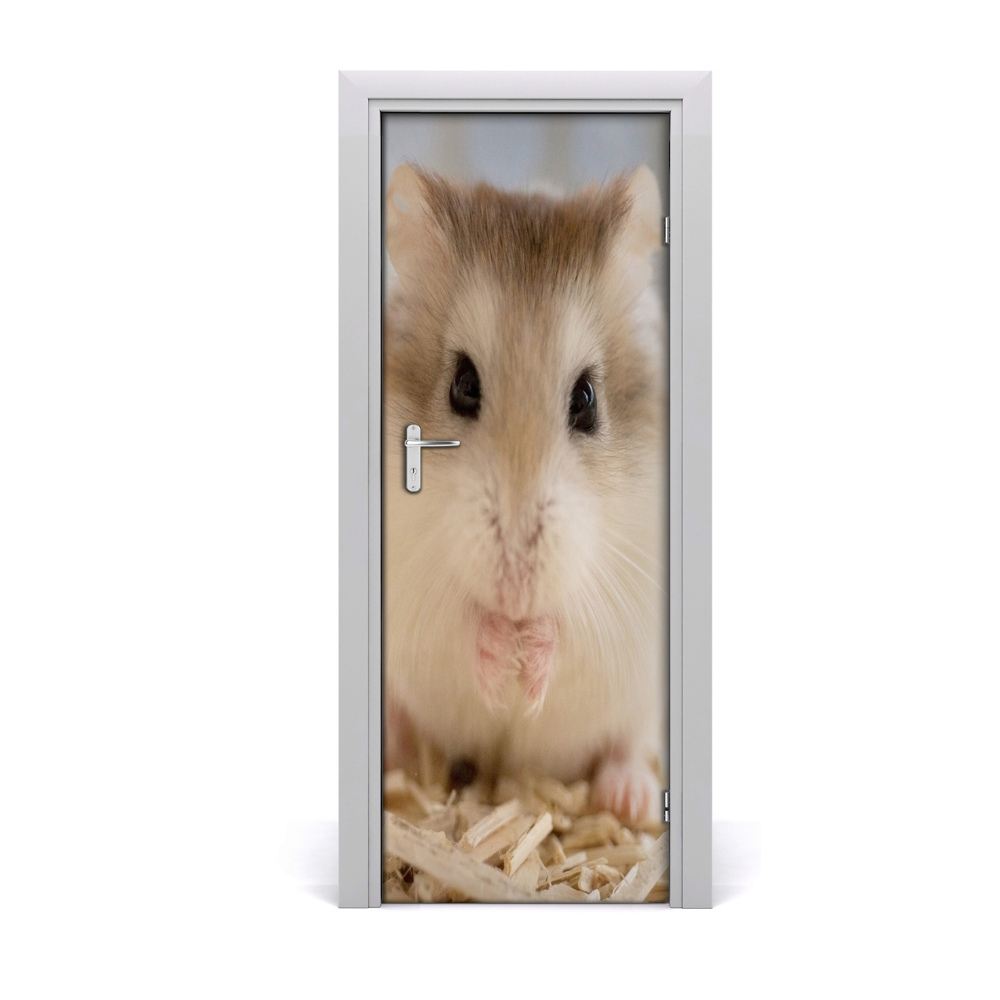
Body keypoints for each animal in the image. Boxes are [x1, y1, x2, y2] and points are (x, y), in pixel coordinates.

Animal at [382, 163, 666, 823]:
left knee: (630, 741)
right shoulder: (412, 588)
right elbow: (460, 619)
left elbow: (572, 626)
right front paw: (502, 652)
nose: (516, 591)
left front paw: (527, 652)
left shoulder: (625, 599)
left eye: (586, 399)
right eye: (463, 385)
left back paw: (629, 800)